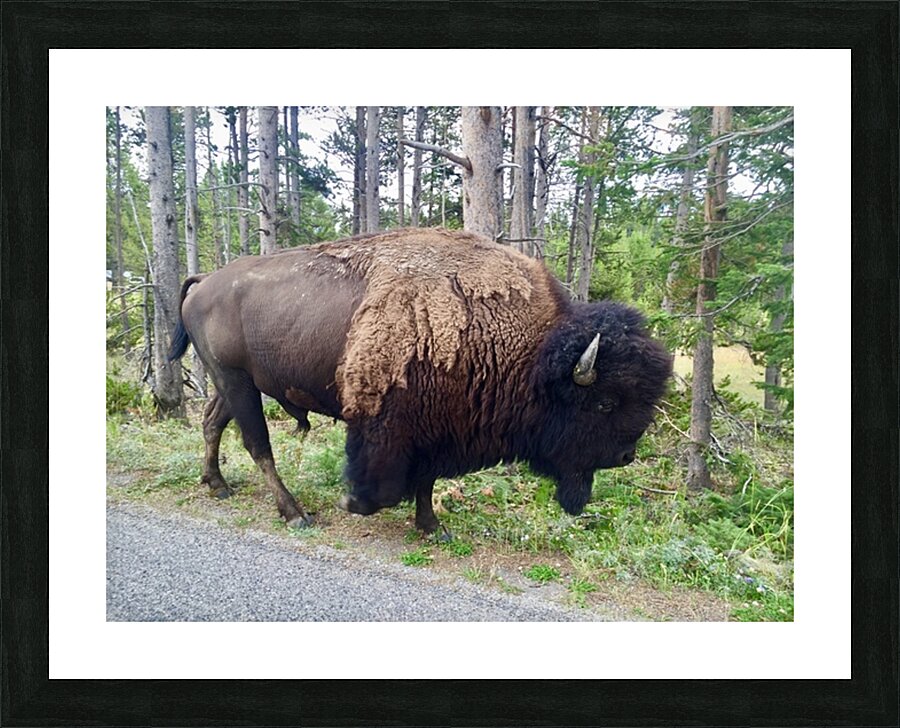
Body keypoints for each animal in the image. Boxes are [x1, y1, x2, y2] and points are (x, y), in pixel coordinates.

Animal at [169, 228, 672, 534]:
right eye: (605, 403)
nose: (625, 456)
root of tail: (204, 280)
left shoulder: (438, 426)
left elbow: (427, 479)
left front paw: (432, 526)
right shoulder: (389, 423)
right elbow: (386, 482)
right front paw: (354, 503)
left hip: (231, 383)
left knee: (213, 422)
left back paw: (216, 483)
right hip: (237, 382)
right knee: (258, 445)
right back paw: (294, 513)